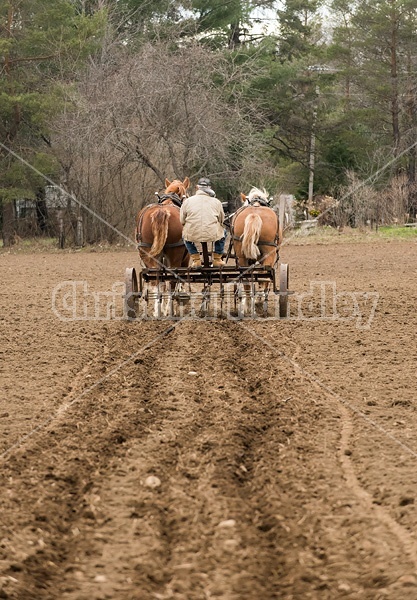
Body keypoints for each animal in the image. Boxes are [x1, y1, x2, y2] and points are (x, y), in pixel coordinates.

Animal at [135, 177, 190, 316]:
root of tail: (162, 211)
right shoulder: (185, 259)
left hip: (148, 253)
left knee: (156, 280)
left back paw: (157, 312)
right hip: (175, 254)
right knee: (171, 281)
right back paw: (168, 311)